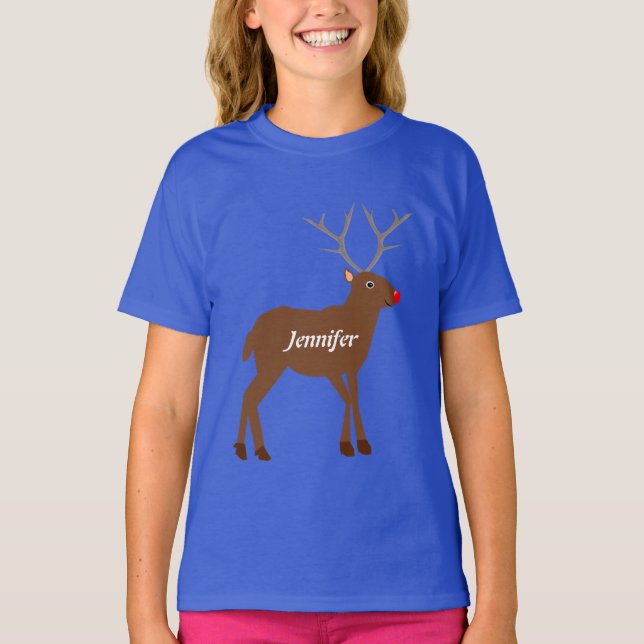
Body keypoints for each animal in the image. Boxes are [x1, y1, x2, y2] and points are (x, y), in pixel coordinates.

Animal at [235, 203, 413, 461]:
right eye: (369, 283)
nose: (396, 294)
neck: (357, 329)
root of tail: (252, 331)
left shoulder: (348, 369)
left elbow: (352, 397)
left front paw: (354, 444)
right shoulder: (334, 368)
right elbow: (350, 399)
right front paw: (353, 444)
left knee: (249, 396)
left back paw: (252, 449)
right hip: (270, 363)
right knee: (250, 395)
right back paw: (250, 448)